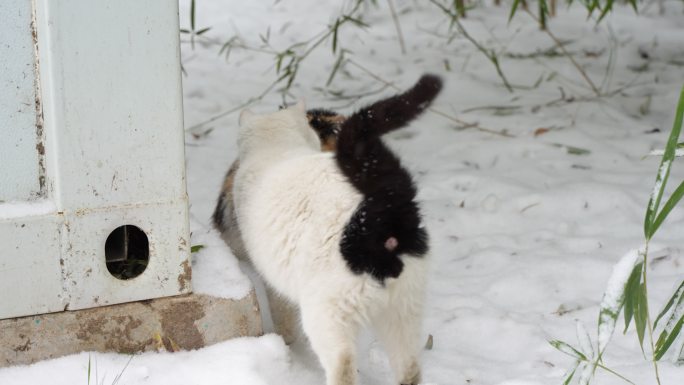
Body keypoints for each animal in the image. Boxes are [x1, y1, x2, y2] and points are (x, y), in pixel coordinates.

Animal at [232, 75, 440, 384]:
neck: (276, 147)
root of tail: (380, 208)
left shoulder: (272, 280)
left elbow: (282, 315)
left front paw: (286, 342)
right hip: (404, 311)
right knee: (410, 368)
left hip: (327, 315)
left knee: (343, 366)